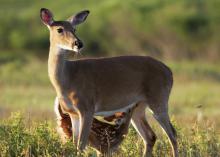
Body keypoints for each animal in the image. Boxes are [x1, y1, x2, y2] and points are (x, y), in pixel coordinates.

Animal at [40, 7, 179, 157]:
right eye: (59, 29)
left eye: (74, 29)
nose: (78, 43)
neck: (68, 78)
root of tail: (169, 71)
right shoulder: (73, 113)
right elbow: (75, 145)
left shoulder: (87, 108)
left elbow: (81, 145)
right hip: (139, 106)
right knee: (150, 136)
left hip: (159, 99)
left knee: (172, 134)